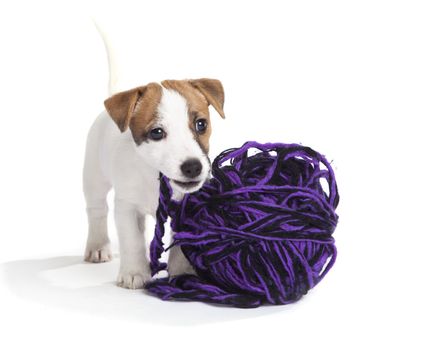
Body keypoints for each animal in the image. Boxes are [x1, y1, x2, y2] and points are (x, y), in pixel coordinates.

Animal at [82, 27, 226, 288]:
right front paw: (134, 273)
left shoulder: (188, 207)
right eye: (157, 132)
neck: (156, 178)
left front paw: (183, 272)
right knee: (96, 209)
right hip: (93, 176)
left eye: (201, 124)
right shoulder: (127, 207)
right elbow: (132, 241)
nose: (193, 167)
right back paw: (98, 246)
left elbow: (181, 244)